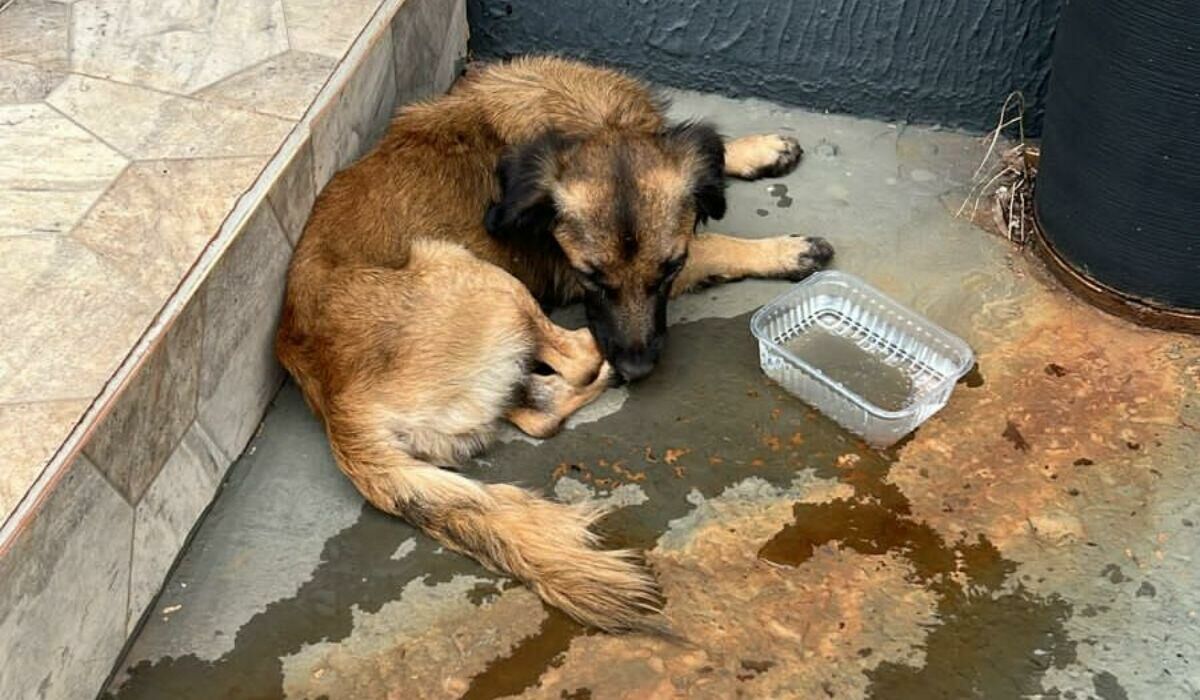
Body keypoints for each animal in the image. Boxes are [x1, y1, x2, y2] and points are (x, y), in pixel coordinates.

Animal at [274, 56, 830, 633]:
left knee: (538, 415)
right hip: (477, 275)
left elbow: (705, 154)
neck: (594, 124)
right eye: (591, 277)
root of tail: (337, 408)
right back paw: (602, 363)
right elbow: (715, 243)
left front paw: (758, 149)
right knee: (576, 358)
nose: (638, 367)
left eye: (666, 270)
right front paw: (784, 251)